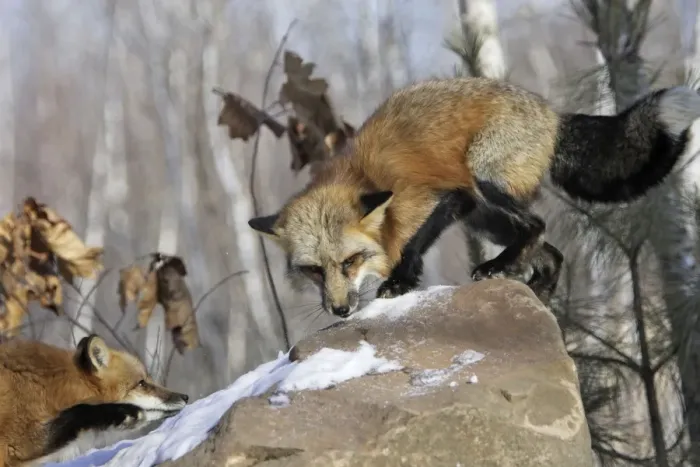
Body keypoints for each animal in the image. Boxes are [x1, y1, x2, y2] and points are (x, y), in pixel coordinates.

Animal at [248, 76, 700, 317]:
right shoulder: (457, 204)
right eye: (313, 271)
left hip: (484, 181)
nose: (340, 310)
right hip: (487, 219)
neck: (362, 176)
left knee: (537, 225)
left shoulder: (446, 196)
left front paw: (400, 281)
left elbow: (413, 244)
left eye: (350, 261)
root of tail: (552, 114)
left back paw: (500, 268)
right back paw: (537, 295)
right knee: (551, 252)